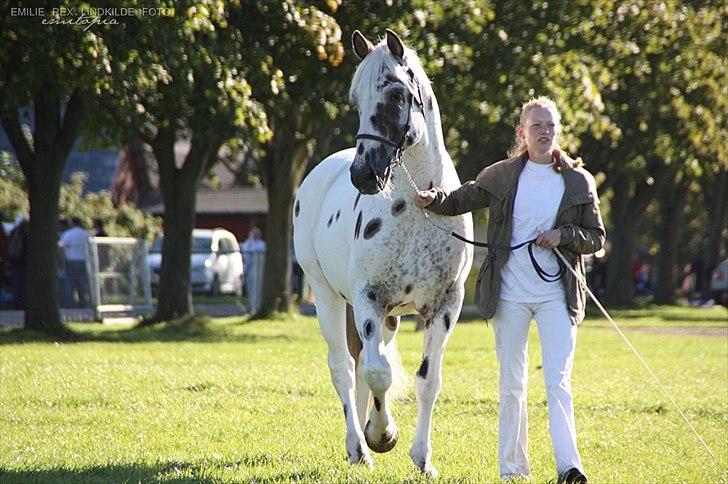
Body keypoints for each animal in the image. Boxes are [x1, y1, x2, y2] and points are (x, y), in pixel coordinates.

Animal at [292, 30, 474, 476]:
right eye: (356, 99)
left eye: (395, 95)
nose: (364, 175)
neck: (418, 206)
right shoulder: (367, 299)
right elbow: (378, 373)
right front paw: (382, 435)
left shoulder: (445, 305)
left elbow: (428, 381)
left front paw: (423, 458)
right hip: (328, 298)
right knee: (344, 368)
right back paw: (359, 445)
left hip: (389, 317)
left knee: (361, 366)